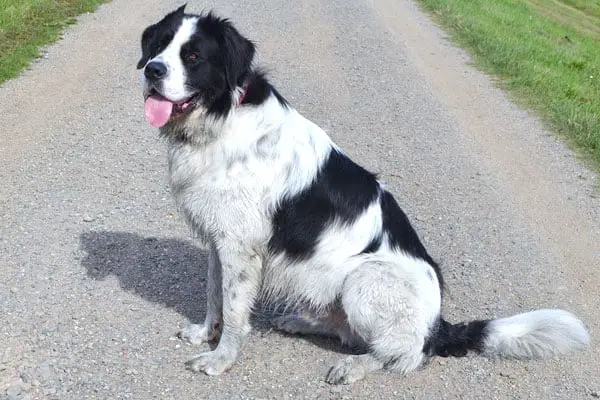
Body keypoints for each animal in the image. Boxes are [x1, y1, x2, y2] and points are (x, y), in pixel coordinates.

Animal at [137, 3, 592, 384]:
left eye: (194, 57)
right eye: (159, 45)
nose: (152, 71)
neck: (222, 115)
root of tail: (439, 324)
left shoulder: (240, 244)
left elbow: (233, 310)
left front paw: (221, 359)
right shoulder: (221, 238)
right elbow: (215, 294)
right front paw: (205, 334)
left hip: (365, 278)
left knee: (404, 353)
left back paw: (354, 366)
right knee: (352, 333)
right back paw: (302, 323)